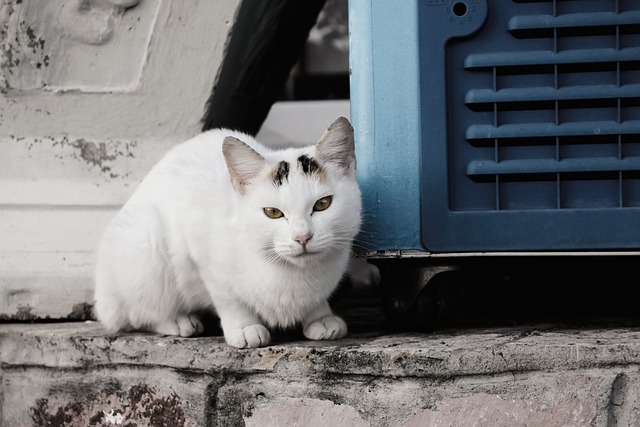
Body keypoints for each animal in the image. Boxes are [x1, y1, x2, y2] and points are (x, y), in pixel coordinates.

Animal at [95, 116, 364, 348]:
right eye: (273, 212)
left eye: (322, 204)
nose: (302, 237)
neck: (293, 275)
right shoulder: (203, 258)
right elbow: (229, 299)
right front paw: (244, 327)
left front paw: (320, 316)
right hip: (145, 250)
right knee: (135, 313)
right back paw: (177, 321)